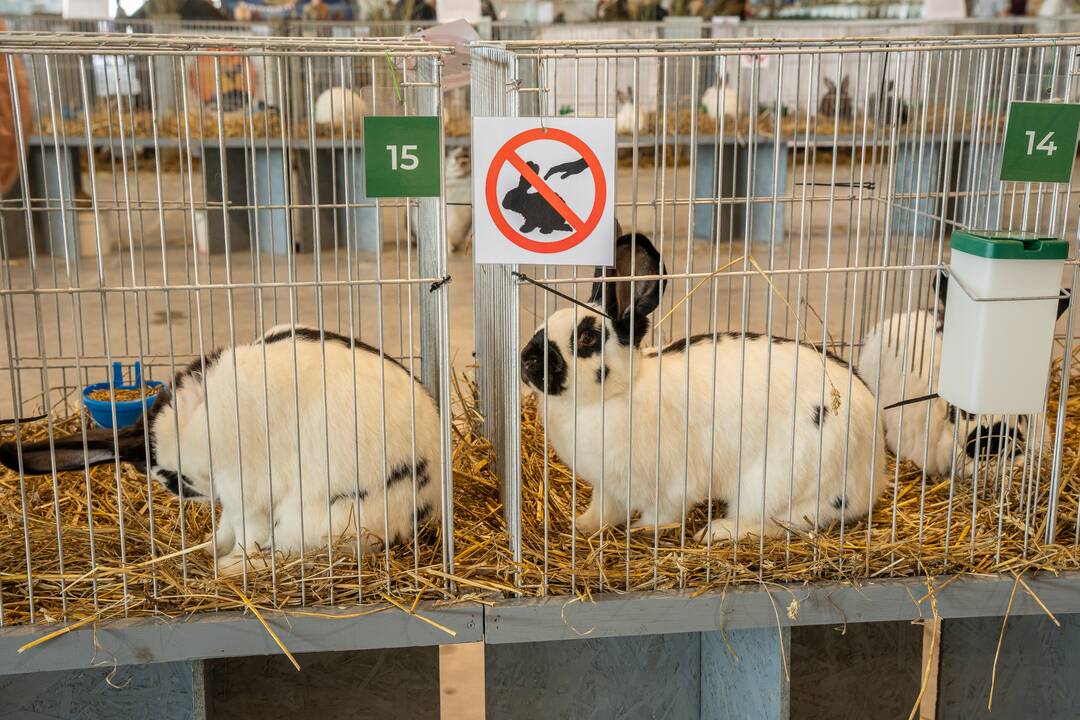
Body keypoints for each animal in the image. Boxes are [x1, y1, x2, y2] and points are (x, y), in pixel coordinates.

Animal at [0, 325, 442, 574]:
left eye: (170, 478)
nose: (188, 492)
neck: (190, 424)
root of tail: (422, 510)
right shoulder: (232, 499)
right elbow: (226, 527)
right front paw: (208, 548)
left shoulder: (246, 490)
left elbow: (248, 534)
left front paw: (224, 561)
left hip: (317, 516)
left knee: (297, 551)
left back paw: (231, 568)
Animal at [520, 234, 885, 544]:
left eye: (586, 338)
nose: (526, 359)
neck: (615, 393)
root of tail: (874, 468)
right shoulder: (607, 485)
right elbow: (604, 509)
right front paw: (581, 527)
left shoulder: (672, 483)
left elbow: (663, 513)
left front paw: (642, 531)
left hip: (777, 479)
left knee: (773, 523)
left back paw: (716, 532)